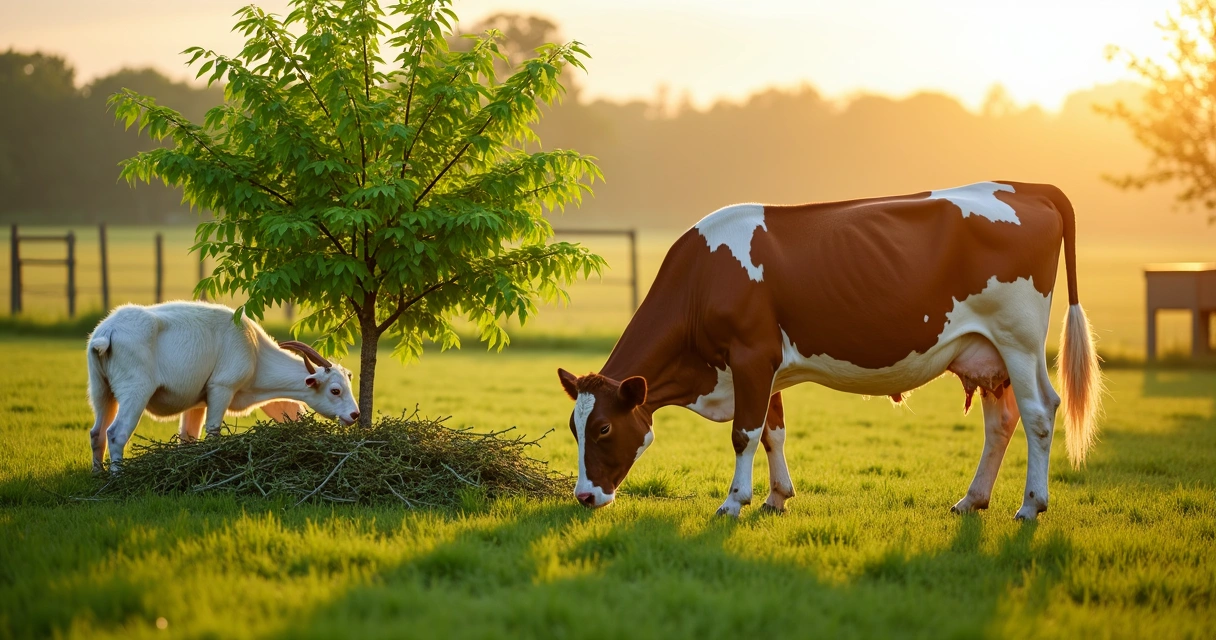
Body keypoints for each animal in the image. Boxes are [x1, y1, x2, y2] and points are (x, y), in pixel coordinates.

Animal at [86, 301, 359, 472]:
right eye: (335, 390)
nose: (354, 415)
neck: (255, 350)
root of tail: (107, 333)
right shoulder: (221, 388)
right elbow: (213, 433)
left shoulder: (196, 404)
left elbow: (188, 438)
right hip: (136, 392)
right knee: (116, 433)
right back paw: (117, 479)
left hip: (101, 391)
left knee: (96, 433)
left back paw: (98, 477)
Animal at [557, 181, 1101, 520]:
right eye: (573, 428)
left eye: (603, 428)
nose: (584, 496)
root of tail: (1025, 185)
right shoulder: (765, 364)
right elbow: (773, 430)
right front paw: (777, 497)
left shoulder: (750, 354)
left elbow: (744, 433)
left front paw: (734, 502)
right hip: (986, 352)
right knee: (1001, 421)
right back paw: (973, 500)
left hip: (1018, 338)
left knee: (1039, 412)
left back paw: (1030, 505)